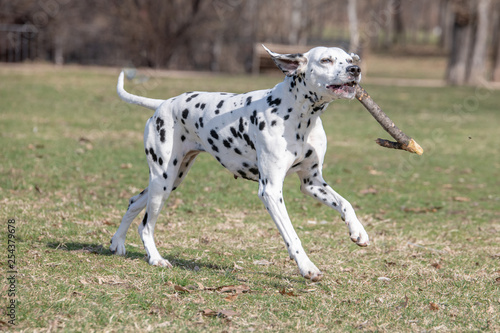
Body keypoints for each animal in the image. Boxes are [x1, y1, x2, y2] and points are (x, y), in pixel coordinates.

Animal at [110, 45, 368, 282]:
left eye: (350, 59)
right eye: (326, 60)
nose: (355, 70)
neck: (300, 116)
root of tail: (164, 103)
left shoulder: (312, 182)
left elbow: (345, 203)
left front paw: (358, 231)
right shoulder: (270, 191)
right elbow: (292, 235)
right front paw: (307, 267)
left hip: (171, 180)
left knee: (133, 202)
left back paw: (117, 243)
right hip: (162, 181)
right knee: (146, 225)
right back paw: (155, 258)